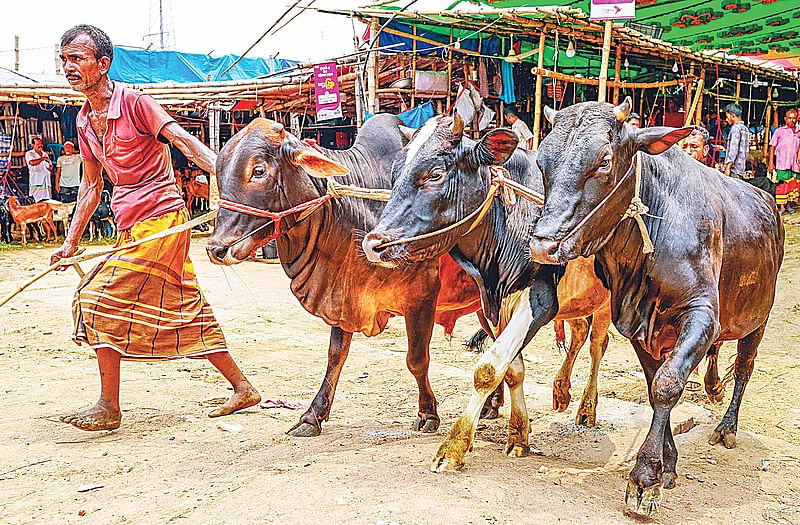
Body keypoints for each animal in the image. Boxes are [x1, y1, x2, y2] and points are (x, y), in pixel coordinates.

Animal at [528, 98, 784, 516]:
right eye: (542, 161)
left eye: (604, 161)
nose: (543, 246)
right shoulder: (636, 324)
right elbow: (654, 387)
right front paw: (668, 465)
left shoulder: (702, 314)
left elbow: (667, 385)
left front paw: (645, 477)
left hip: (757, 319)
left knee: (745, 369)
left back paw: (727, 428)